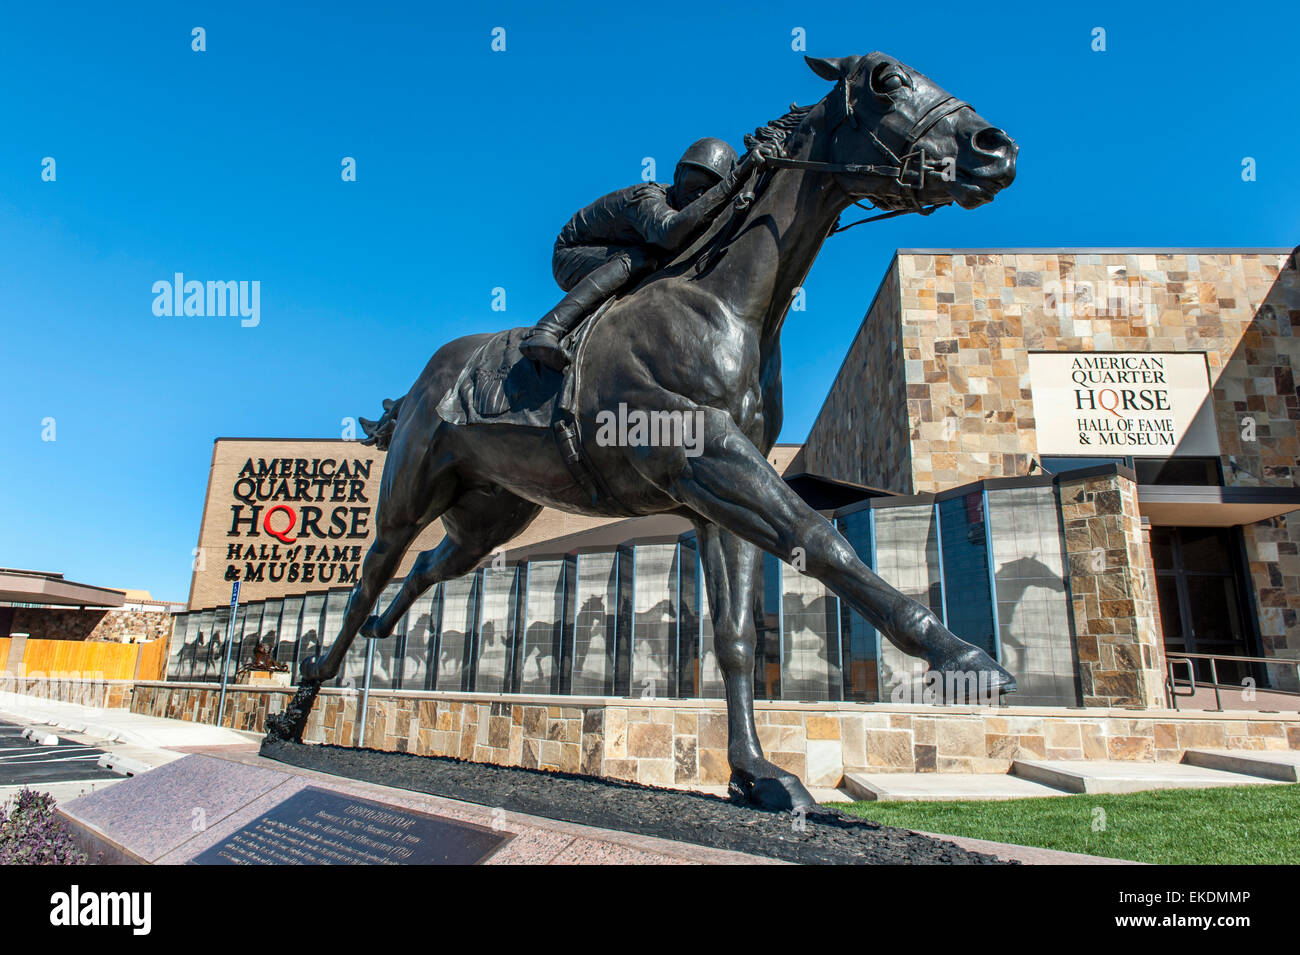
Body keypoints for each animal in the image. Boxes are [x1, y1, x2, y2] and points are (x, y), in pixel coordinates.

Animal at [269, 52, 1019, 815]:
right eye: (886, 79)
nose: (995, 147)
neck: (724, 301)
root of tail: (425, 379)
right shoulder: (704, 457)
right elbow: (819, 536)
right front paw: (964, 657)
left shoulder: (718, 498)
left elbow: (736, 636)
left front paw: (758, 772)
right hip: (408, 495)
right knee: (370, 575)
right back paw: (298, 704)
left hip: (491, 513)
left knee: (427, 566)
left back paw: (379, 631)